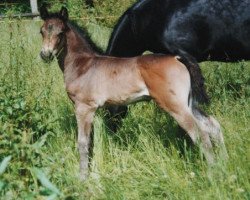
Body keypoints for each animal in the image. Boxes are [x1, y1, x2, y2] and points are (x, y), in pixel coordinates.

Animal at [39, 7, 227, 180]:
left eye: (61, 32)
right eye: (42, 31)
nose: (45, 54)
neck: (83, 65)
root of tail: (177, 58)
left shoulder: (84, 107)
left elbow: (83, 143)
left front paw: (83, 178)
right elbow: (92, 142)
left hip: (175, 106)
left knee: (200, 134)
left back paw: (213, 174)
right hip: (189, 104)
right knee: (213, 125)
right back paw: (224, 163)